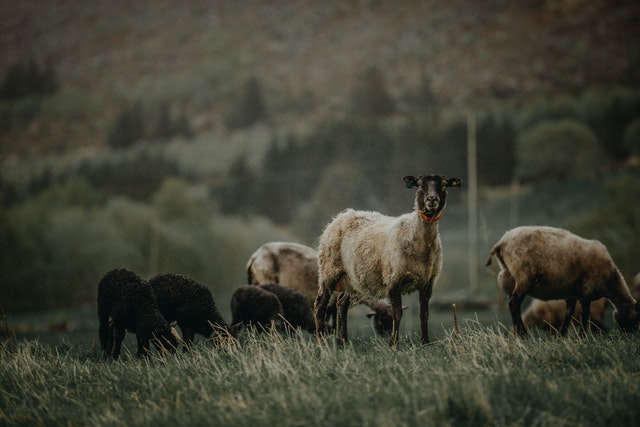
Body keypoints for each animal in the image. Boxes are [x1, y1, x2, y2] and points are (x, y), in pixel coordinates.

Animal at [314, 172, 460, 346]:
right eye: (419, 185)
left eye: (444, 185)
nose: (432, 199)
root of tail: (340, 216)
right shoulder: (393, 279)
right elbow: (397, 313)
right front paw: (393, 344)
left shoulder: (428, 283)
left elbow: (424, 314)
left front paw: (425, 343)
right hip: (328, 271)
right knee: (320, 305)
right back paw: (321, 342)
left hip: (350, 278)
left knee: (341, 303)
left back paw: (343, 341)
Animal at [484, 227, 640, 338]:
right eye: (636, 319)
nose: (630, 336)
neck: (611, 281)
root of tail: (501, 242)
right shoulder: (586, 292)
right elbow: (584, 315)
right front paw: (583, 337)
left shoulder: (572, 294)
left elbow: (569, 313)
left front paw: (562, 335)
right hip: (523, 275)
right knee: (514, 304)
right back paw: (523, 335)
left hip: (513, 275)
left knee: (514, 304)